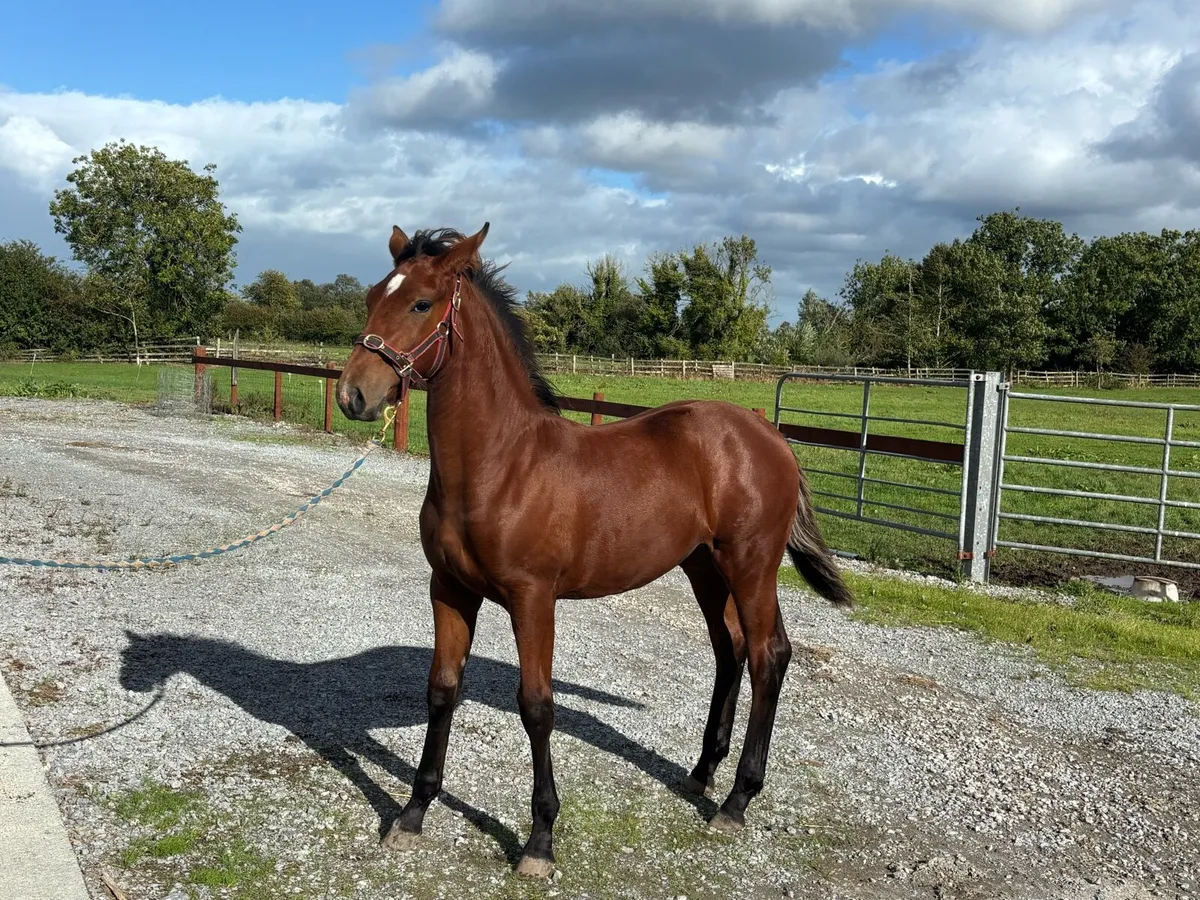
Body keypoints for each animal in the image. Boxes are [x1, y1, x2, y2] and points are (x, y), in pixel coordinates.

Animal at [335, 222, 853, 878]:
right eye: (372, 296)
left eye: (422, 304)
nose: (353, 395)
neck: (502, 465)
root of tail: (769, 435)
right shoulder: (449, 590)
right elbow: (442, 690)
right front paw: (411, 814)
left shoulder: (533, 599)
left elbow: (536, 706)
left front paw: (539, 842)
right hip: (705, 566)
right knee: (730, 651)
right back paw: (701, 775)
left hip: (751, 563)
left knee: (768, 656)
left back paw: (737, 801)